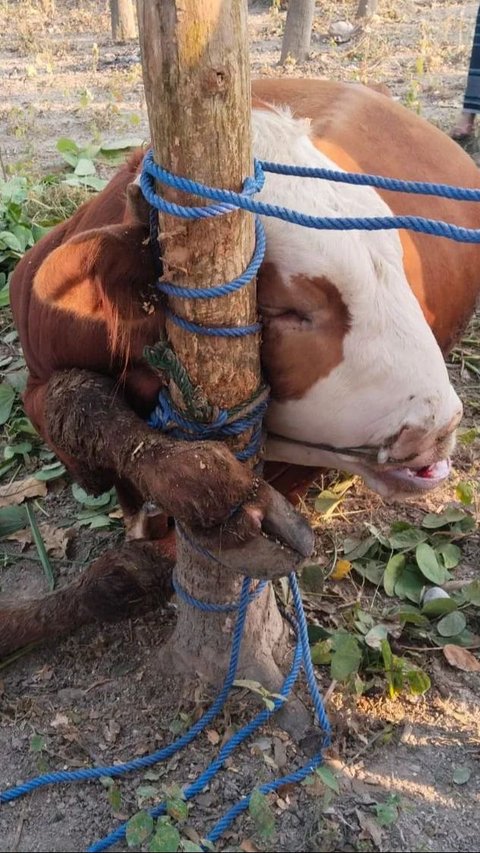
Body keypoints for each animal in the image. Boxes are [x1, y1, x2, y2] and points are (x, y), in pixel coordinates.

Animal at [3, 76, 480, 656]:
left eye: (401, 264)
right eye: (281, 308)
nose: (438, 425)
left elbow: (132, 571)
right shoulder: (38, 363)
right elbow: (74, 403)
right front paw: (205, 482)